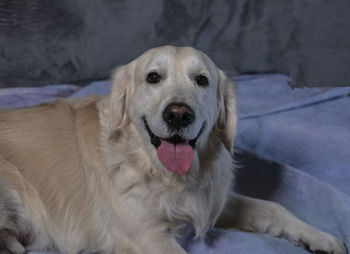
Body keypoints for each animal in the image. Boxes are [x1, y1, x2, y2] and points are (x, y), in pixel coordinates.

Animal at [0, 46, 346, 254]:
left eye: (202, 80)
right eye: (153, 77)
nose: (178, 114)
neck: (160, 171)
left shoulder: (212, 201)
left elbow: (274, 208)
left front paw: (320, 237)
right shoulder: (146, 236)